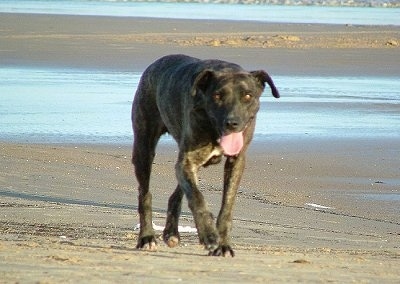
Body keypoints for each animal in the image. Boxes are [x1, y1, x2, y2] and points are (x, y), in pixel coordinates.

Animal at [131, 54, 278, 256]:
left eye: (248, 96)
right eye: (217, 96)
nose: (232, 122)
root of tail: (155, 64)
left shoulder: (236, 161)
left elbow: (226, 206)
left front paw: (223, 245)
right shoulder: (187, 160)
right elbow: (197, 198)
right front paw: (209, 235)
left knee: (177, 193)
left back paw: (171, 233)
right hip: (144, 147)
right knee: (145, 194)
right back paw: (146, 237)